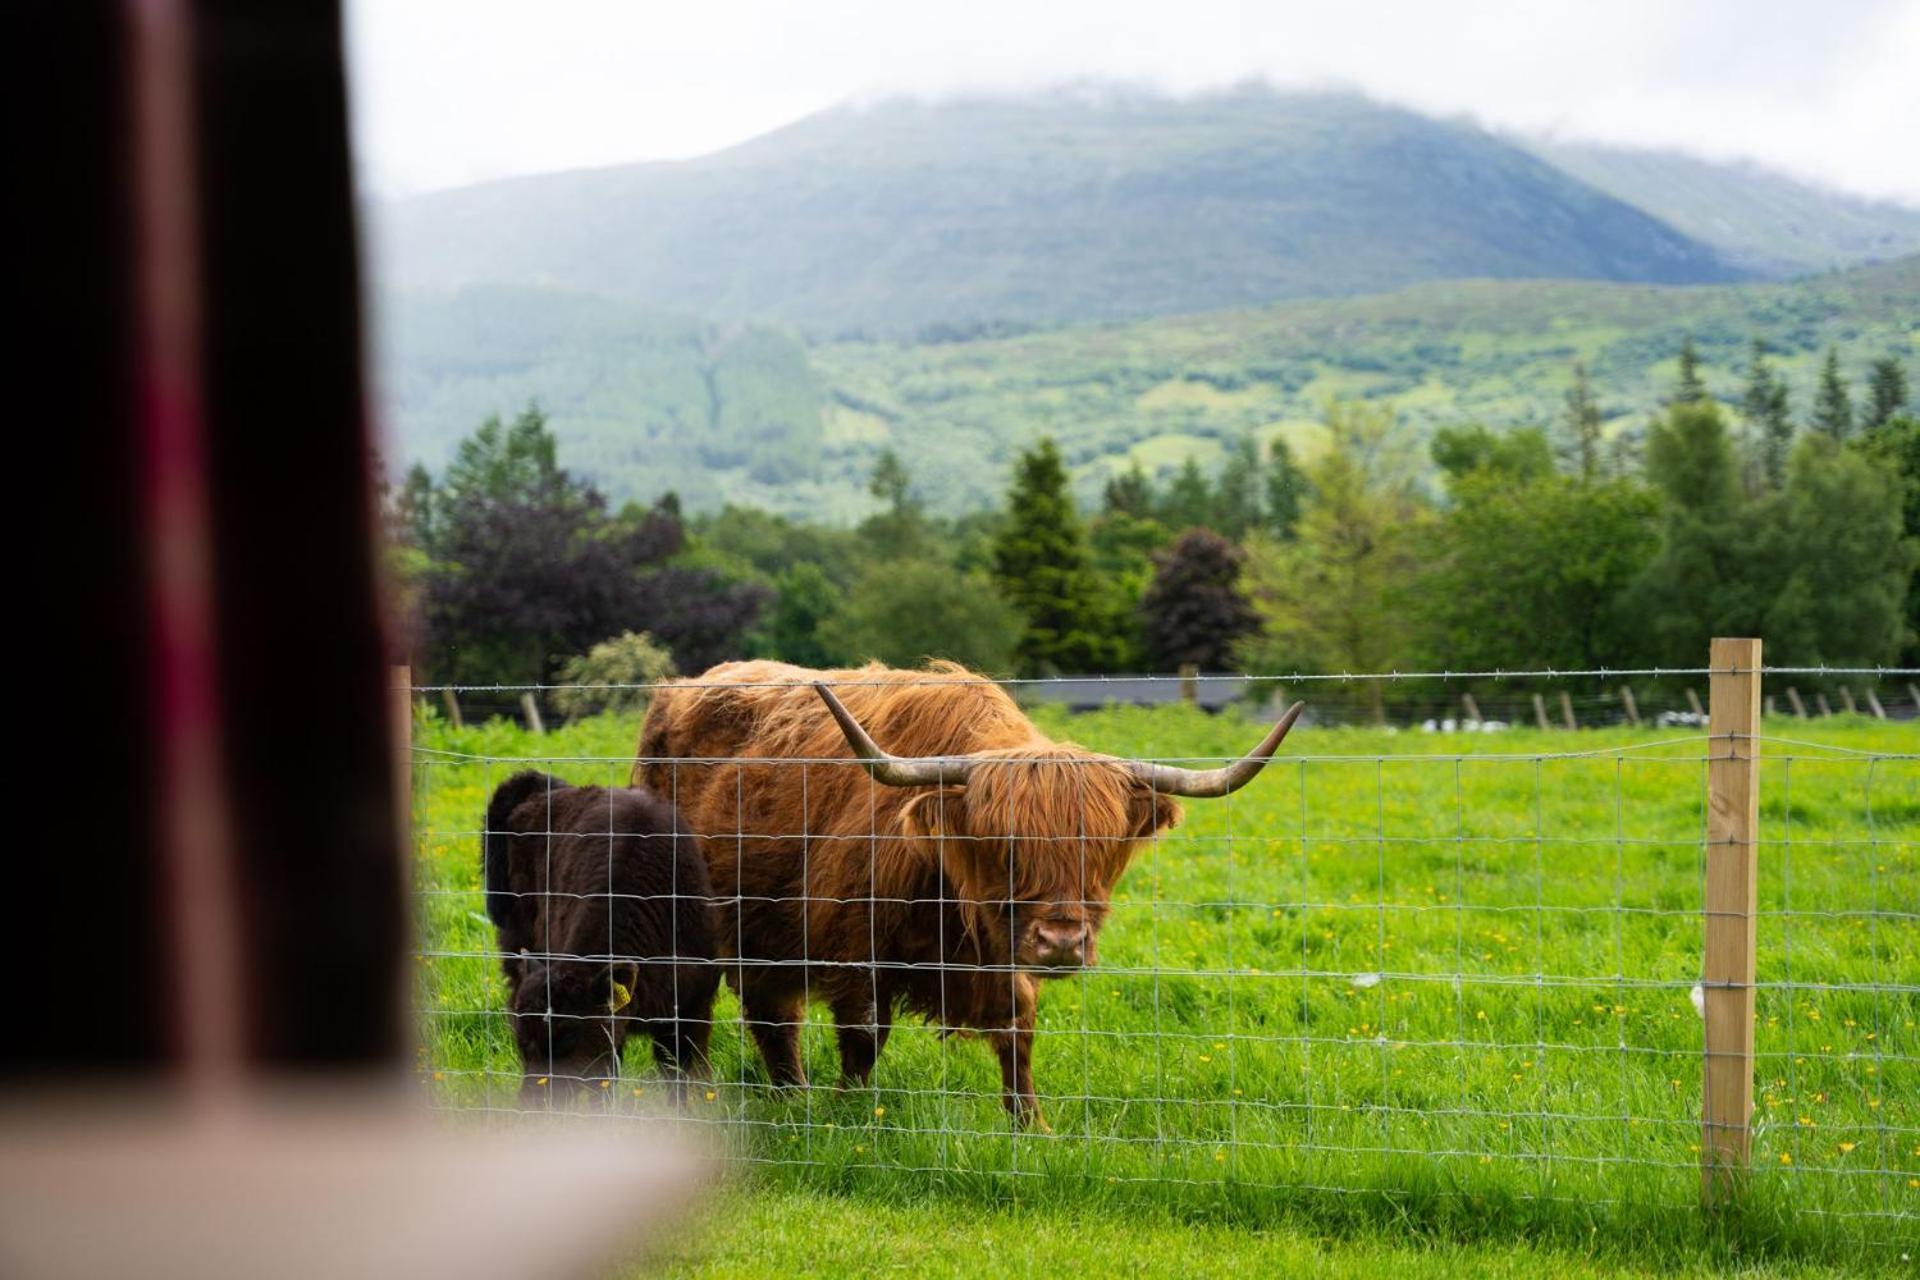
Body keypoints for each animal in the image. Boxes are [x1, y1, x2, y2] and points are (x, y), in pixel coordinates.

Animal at [480, 771, 721, 1105]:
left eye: (568, 1034)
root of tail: (541, 789)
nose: (534, 1104)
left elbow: (681, 1077)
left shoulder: (691, 1012)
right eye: (521, 1038)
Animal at [637, 667, 1297, 1128]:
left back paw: (787, 1095)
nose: (1062, 942)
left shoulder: (1006, 956)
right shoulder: (855, 953)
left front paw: (1030, 1125)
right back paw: (717, 1096)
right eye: (1003, 845)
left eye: (1101, 847)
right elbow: (864, 1037)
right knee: (707, 1015)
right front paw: (849, 1112)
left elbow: (1018, 1033)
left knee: (771, 1015)